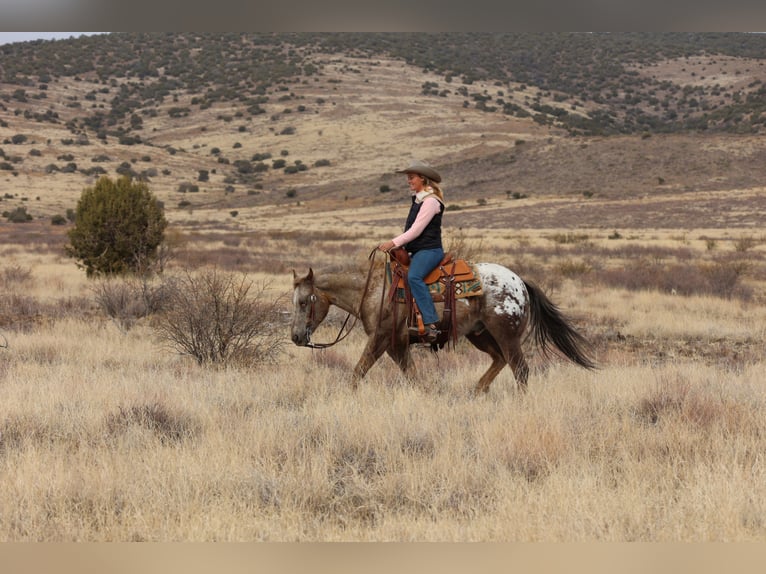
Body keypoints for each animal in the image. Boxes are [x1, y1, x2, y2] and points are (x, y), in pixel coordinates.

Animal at [292, 258, 596, 396]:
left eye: (304, 302)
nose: (295, 337)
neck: (374, 290)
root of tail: (520, 282)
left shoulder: (381, 338)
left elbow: (358, 371)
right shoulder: (397, 344)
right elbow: (412, 375)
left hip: (506, 334)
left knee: (519, 369)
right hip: (480, 334)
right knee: (499, 361)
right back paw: (477, 391)